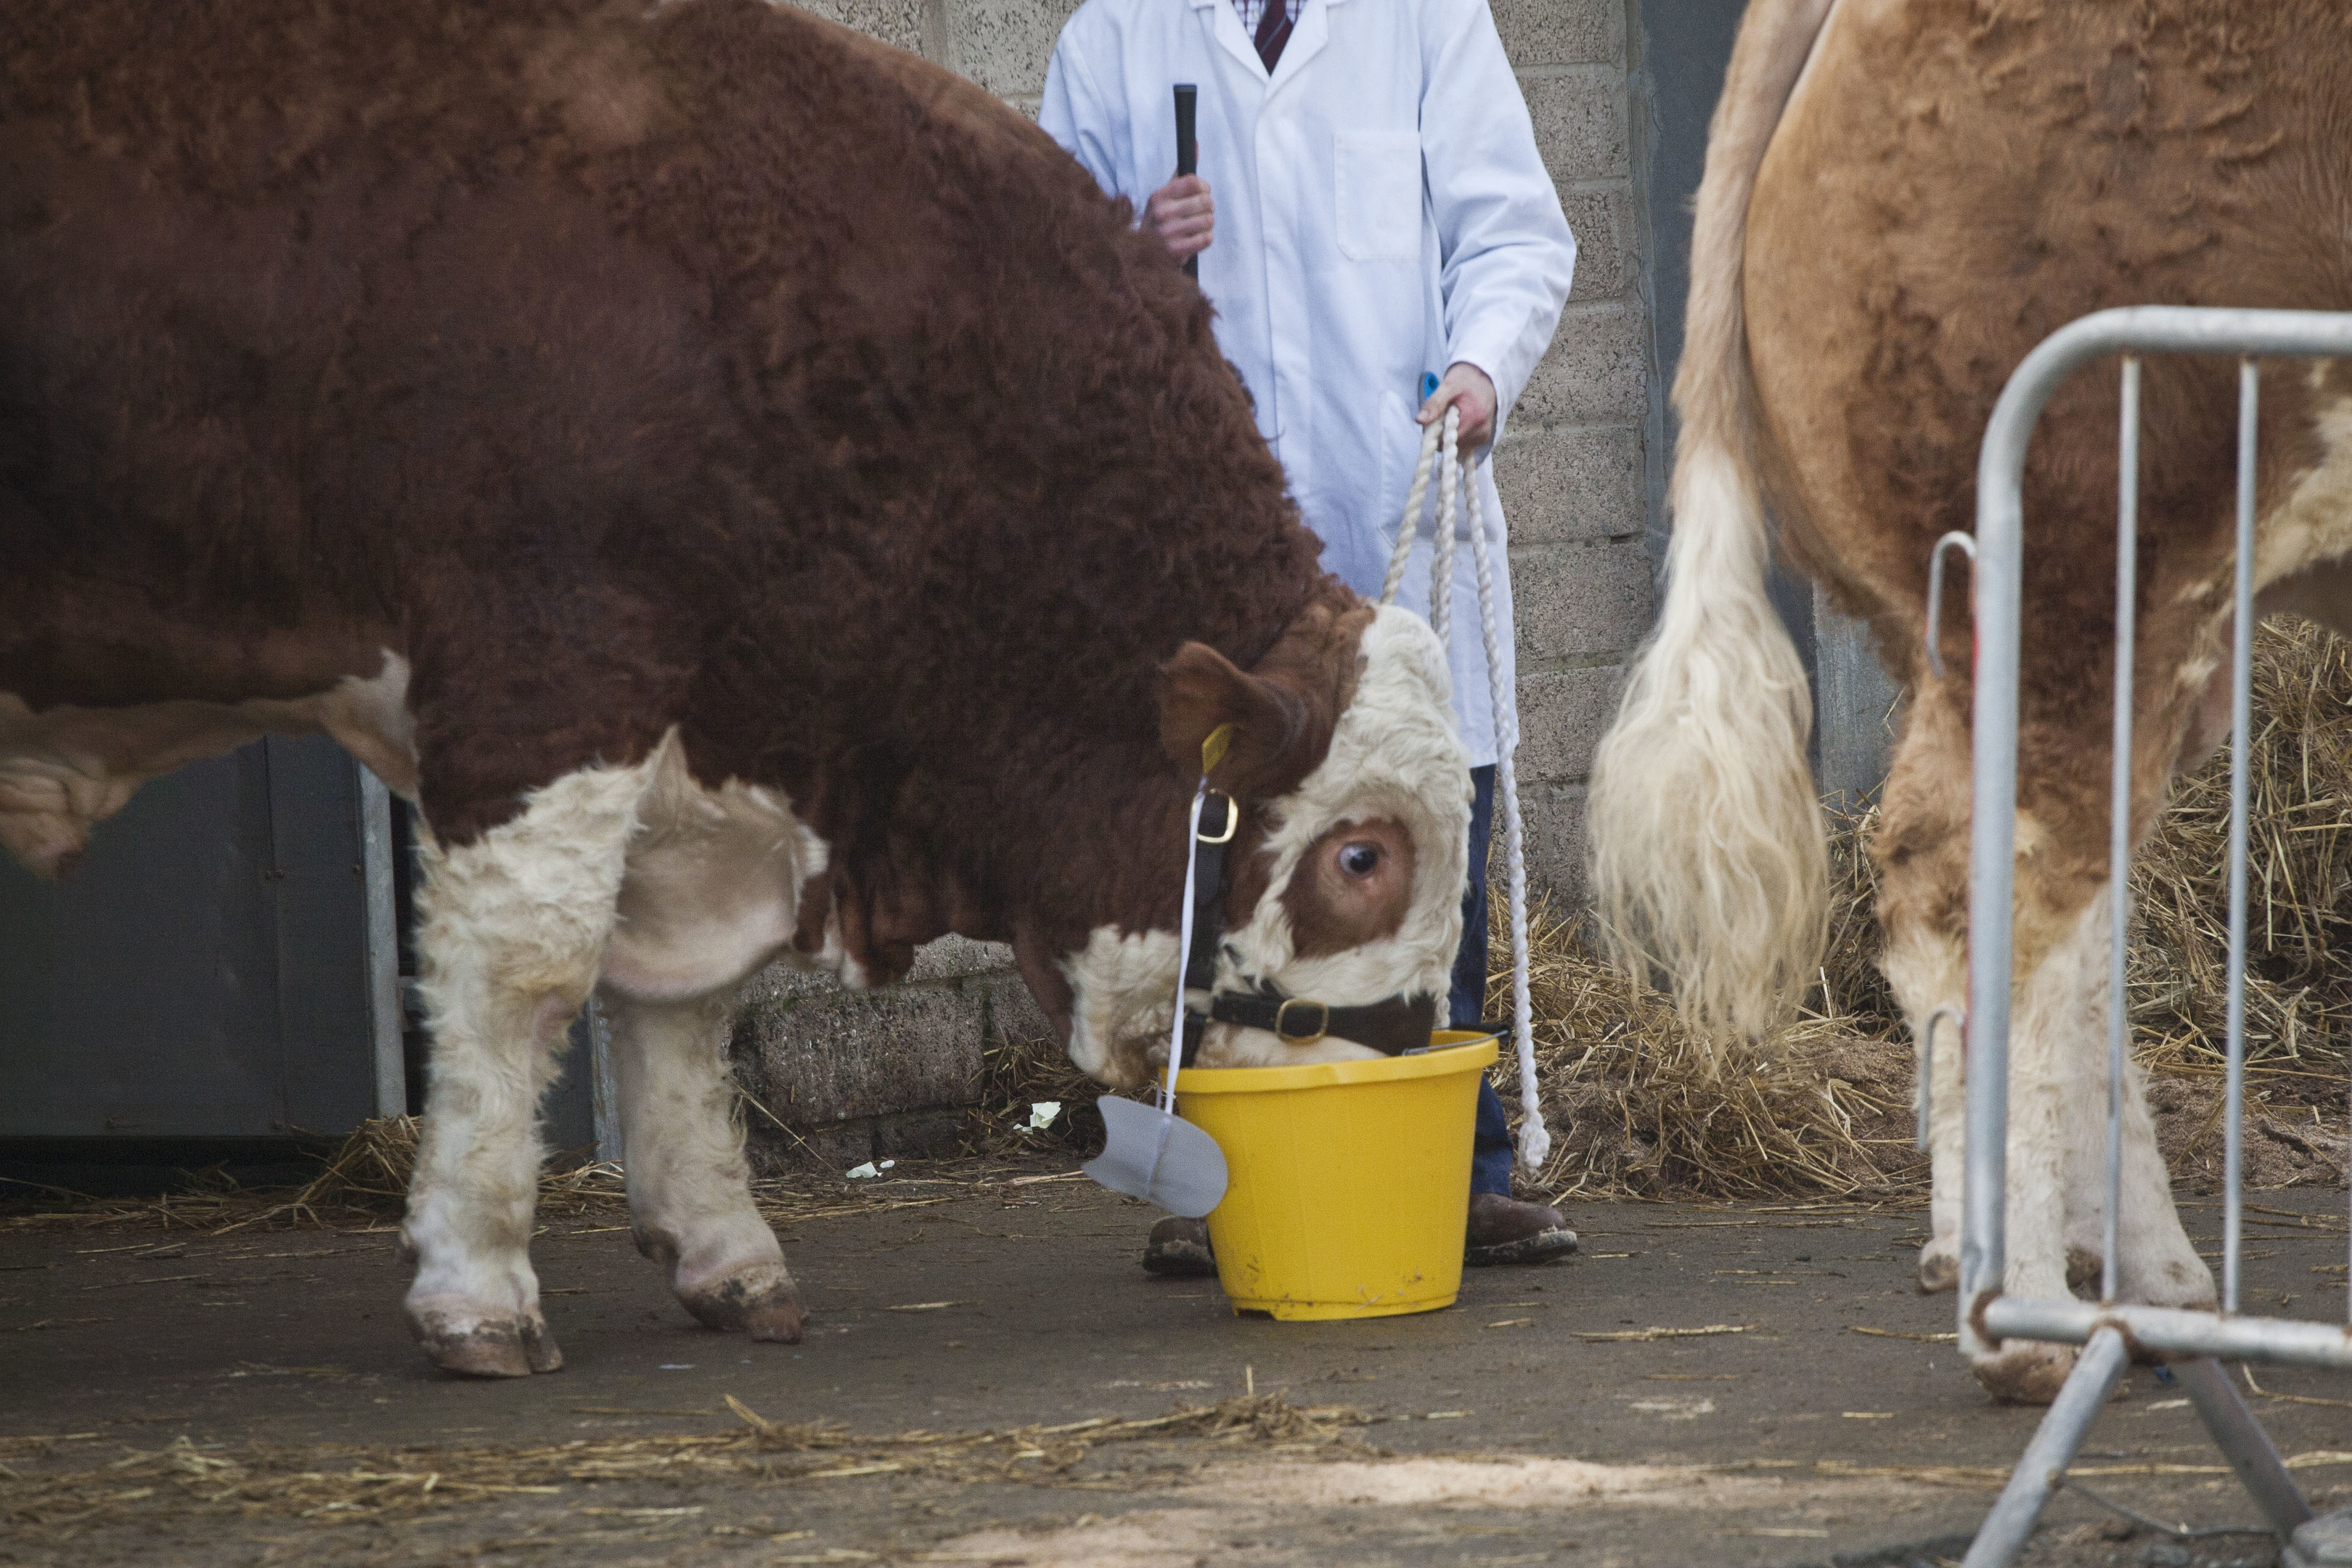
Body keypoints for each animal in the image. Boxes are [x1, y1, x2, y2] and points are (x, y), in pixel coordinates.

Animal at [0, 0, 1467, 1373]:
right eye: (1360, 857)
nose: (1404, 1056)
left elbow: (680, 1005)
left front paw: (725, 1252)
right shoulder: (546, 661)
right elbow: (529, 971)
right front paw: (476, 1285)